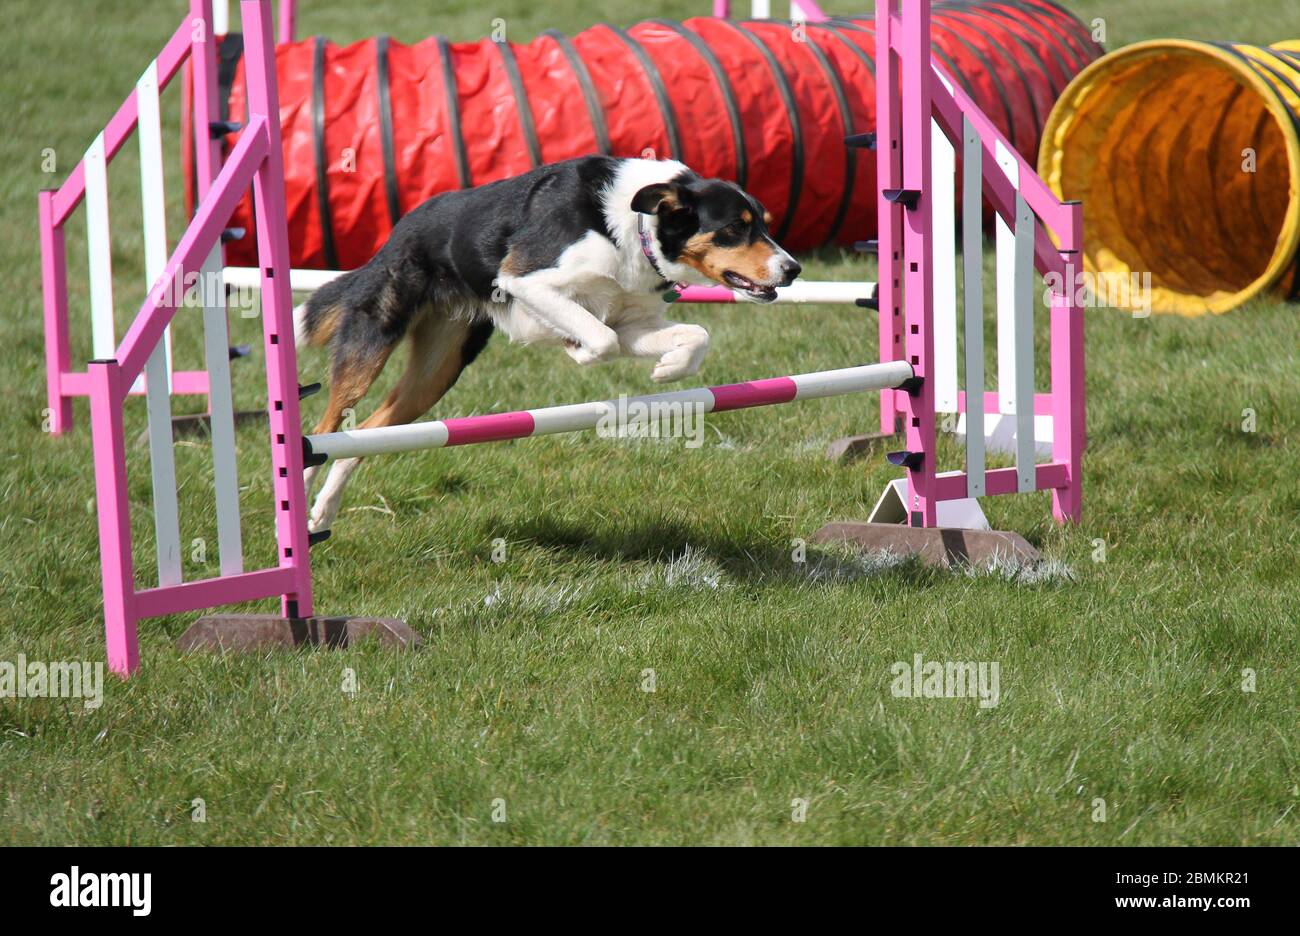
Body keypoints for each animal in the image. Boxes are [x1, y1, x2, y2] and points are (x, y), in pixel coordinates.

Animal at [297, 157, 800, 530]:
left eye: (764, 225)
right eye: (735, 227)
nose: (793, 269)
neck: (631, 228)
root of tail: (394, 235)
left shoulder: (633, 320)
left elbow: (694, 335)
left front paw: (668, 368)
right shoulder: (527, 282)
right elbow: (602, 339)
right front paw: (576, 347)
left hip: (438, 372)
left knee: (366, 433)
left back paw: (324, 512)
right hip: (373, 345)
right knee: (326, 428)